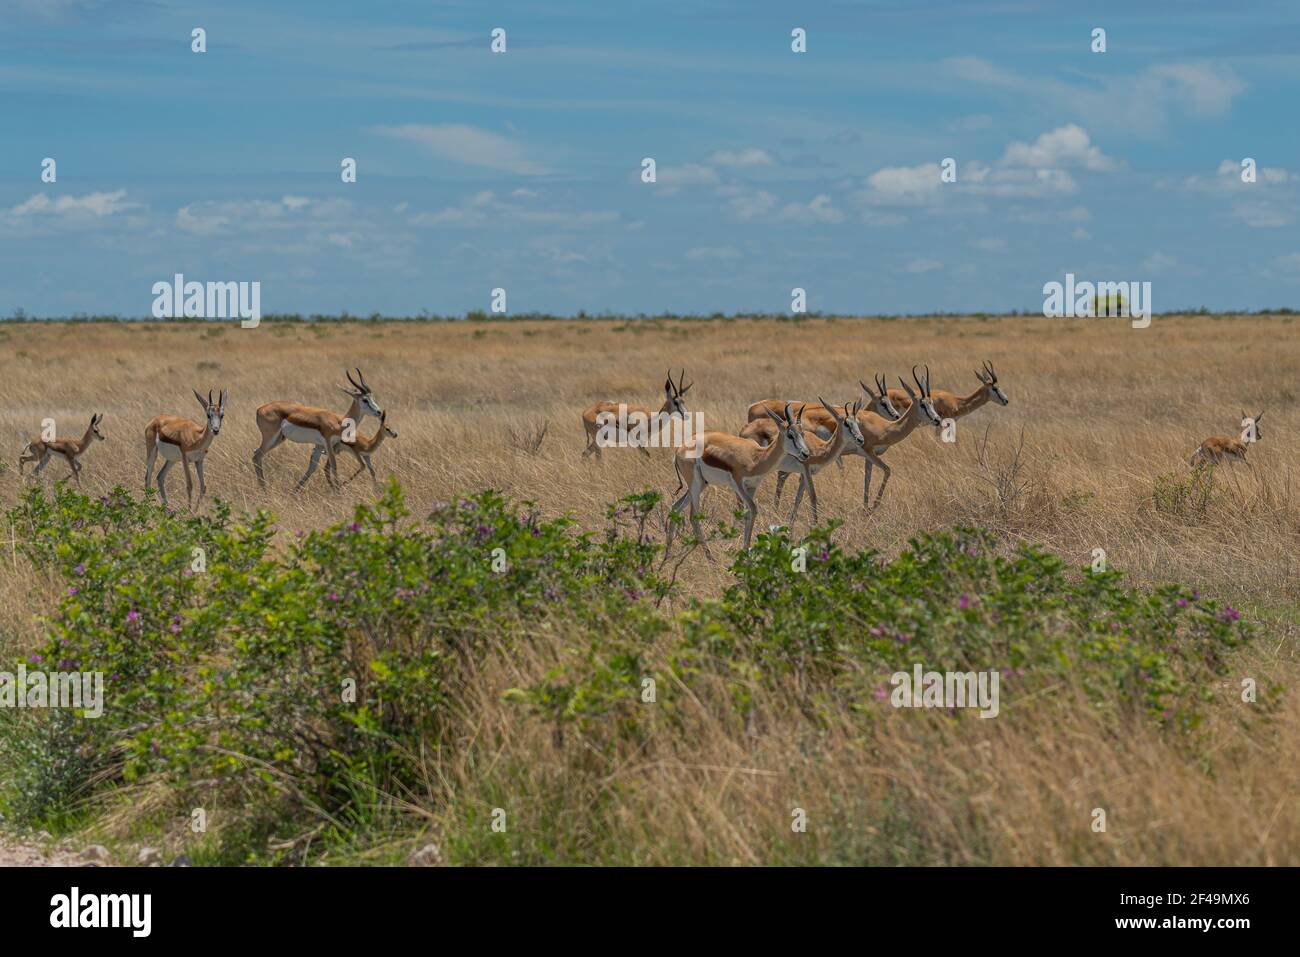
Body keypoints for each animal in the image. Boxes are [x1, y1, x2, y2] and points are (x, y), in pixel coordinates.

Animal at [249, 369, 379, 494]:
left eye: (372, 397)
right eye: (365, 400)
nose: (378, 412)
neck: (339, 421)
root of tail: (260, 409)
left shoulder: (319, 445)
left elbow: (312, 467)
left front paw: (294, 492)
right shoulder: (328, 444)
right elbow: (334, 466)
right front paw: (338, 493)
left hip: (279, 439)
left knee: (257, 454)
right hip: (270, 437)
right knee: (257, 456)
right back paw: (264, 490)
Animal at [670, 403, 811, 548]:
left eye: (803, 433)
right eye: (790, 435)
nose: (806, 454)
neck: (756, 457)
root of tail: (679, 449)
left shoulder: (752, 486)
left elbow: (748, 513)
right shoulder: (738, 485)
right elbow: (753, 509)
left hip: (701, 484)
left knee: (676, 507)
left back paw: (669, 550)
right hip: (695, 484)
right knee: (693, 516)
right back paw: (708, 554)